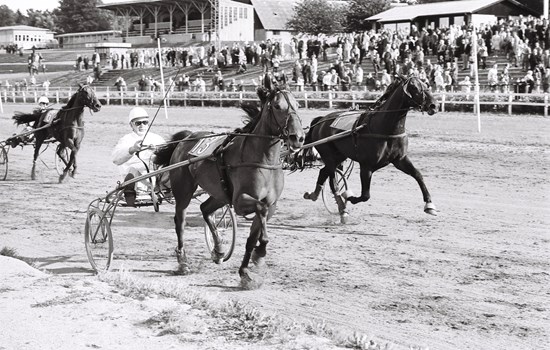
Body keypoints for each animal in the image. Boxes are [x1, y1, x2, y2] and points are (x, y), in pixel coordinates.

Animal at [154, 75, 306, 288]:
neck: (263, 159)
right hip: (184, 190)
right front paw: (260, 254)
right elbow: (260, 210)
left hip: (220, 194)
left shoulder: (272, 204)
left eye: (298, 105)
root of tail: (187, 137)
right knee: (180, 221)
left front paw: (246, 270)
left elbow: (253, 237)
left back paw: (218, 250)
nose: (298, 137)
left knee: (205, 209)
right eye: (277, 106)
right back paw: (183, 262)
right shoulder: (240, 202)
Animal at [302, 75, 440, 223]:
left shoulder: (400, 159)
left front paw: (429, 205)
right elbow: (365, 195)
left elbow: (418, 175)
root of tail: (321, 120)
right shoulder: (366, 166)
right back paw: (342, 209)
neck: (384, 128)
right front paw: (349, 196)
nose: (434, 105)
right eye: (414, 87)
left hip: (339, 155)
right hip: (329, 155)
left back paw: (313, 195)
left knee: (324, 172)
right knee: (333, 180)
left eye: (426, 84)